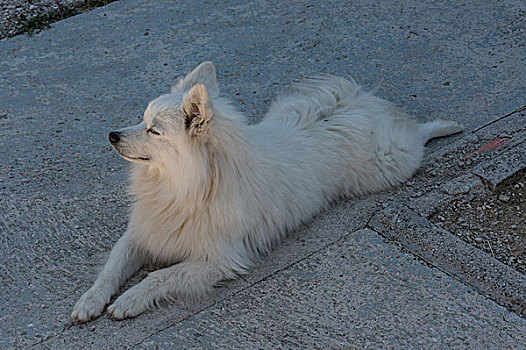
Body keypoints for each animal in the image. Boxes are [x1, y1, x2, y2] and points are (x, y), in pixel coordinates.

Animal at [72, 61, 464, 322]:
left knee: (416, 136)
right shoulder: (141, 234)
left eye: (153, 130)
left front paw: (129, 300)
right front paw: (90, 302)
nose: (112, 135)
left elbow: (160, 277)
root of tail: (351, 103)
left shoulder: (221, 259)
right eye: (142, 120)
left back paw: (442, 126)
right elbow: (111, 268)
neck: (185, 186)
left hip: (389, 165)